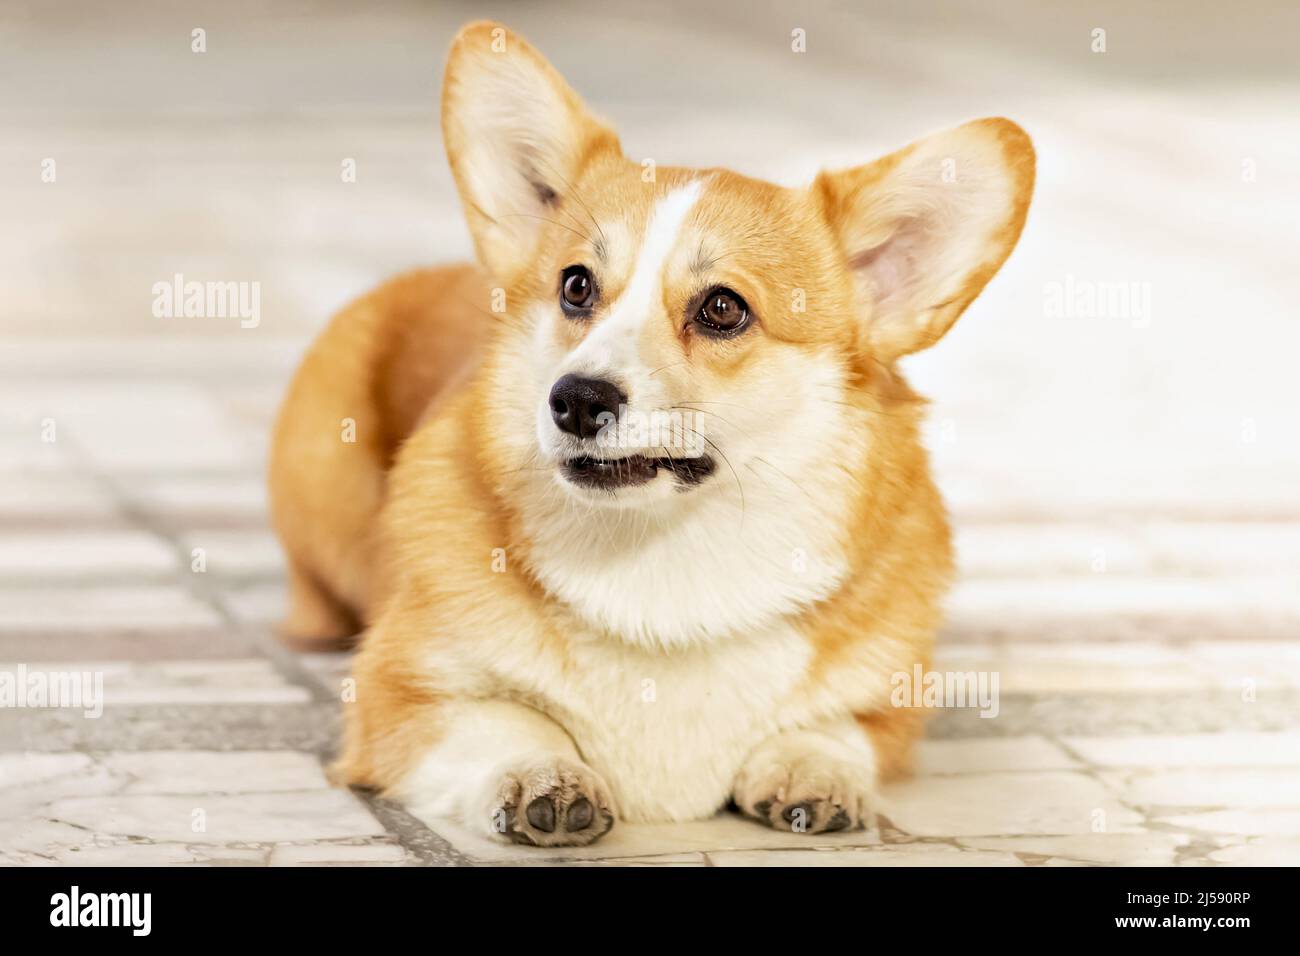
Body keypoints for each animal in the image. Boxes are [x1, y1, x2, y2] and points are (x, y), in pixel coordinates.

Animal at [271, 20, 1034, 842]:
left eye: (723, 308)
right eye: (576, 286)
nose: (575, 400)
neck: (657, 562)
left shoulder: (888, 709)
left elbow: (838, 728)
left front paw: (813, 769)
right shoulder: (398, 697)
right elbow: (504, 721)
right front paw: (542, 775)